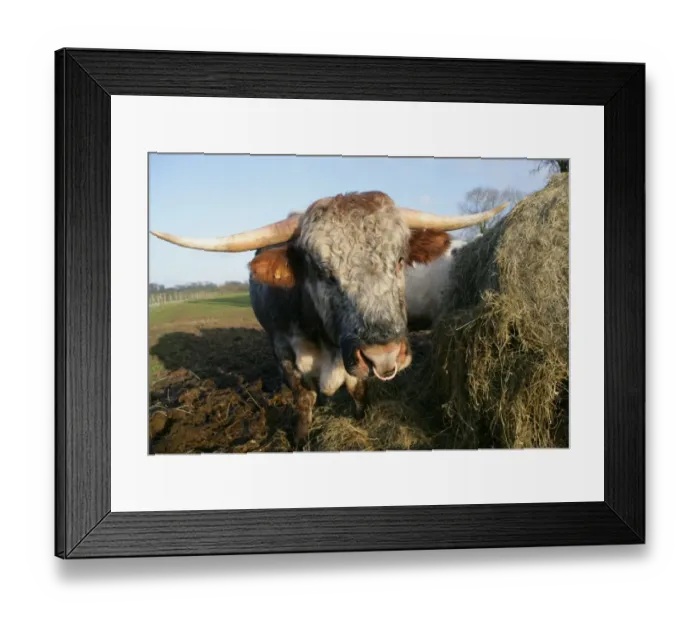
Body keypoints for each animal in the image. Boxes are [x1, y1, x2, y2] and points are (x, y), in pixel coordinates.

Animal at [151, 191, 507, 445]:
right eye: (321, 271)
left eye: (400, 260)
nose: (385, 355)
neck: (324, 341)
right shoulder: (283, 352)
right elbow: (303, 398)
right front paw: (300, 439)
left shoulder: (356, 364)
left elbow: (359, 391)